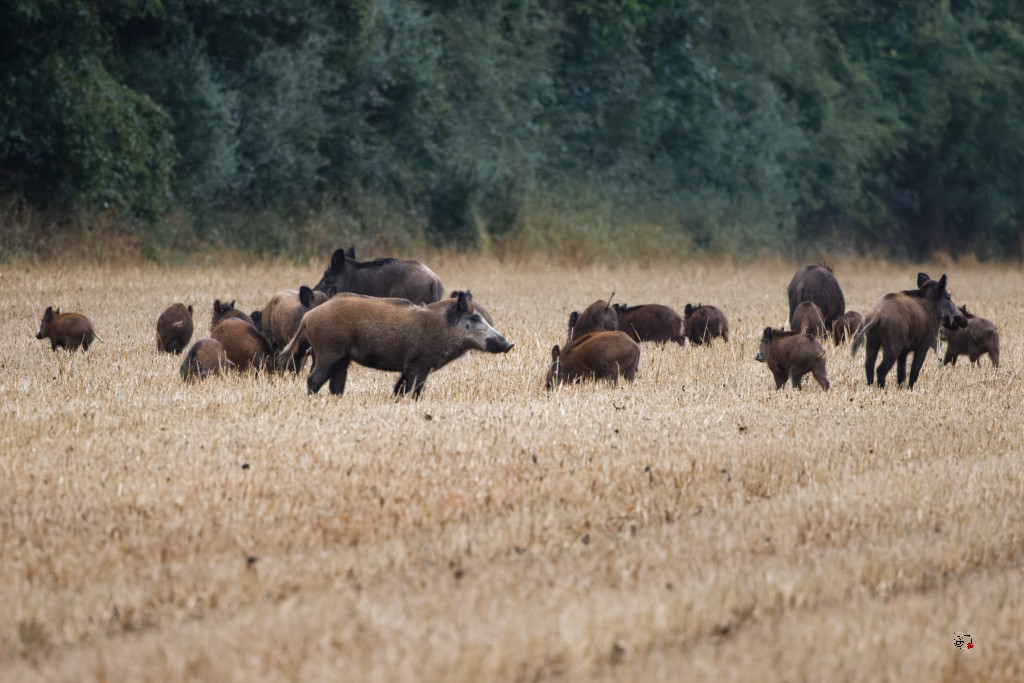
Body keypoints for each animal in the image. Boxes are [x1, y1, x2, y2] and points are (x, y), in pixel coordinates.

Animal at [278, 291, 513, 397]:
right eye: (474, 318)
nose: (509, 344)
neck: (443, 329)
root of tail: (308, 317)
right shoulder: (420, 363)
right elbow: (413, 390)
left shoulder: (410, 367)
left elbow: (399, 389)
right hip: (329, 351)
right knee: (313, 379)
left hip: (341, 358)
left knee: (335, 386)